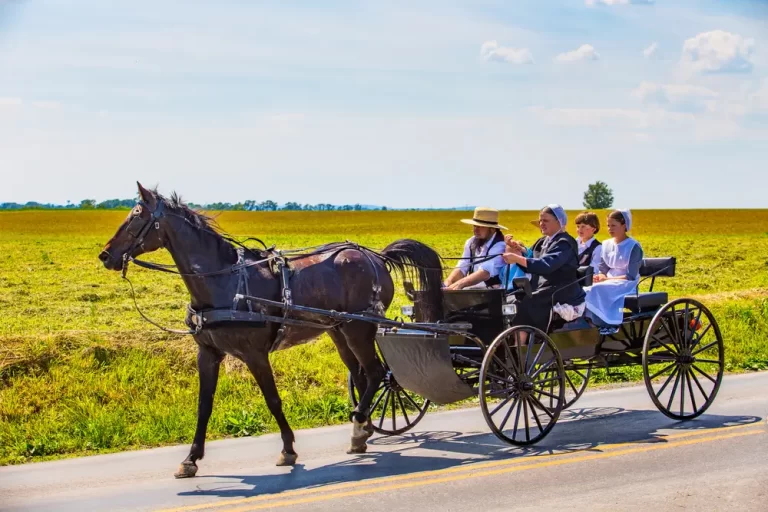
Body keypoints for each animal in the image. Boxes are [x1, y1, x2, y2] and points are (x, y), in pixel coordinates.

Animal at [100, 182, 444, 478]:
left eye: (137, 216)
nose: (105, 255)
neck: (223, 282)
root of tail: (375, 256)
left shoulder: (254, 354)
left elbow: (273, 400)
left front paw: (288, 449)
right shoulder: (208, 353)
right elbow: (204, 406)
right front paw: (191, 459)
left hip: (360, 327)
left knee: (376, 373)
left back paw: (360, 425)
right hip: (339, 330)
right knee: (361, 376)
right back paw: (362, 431)